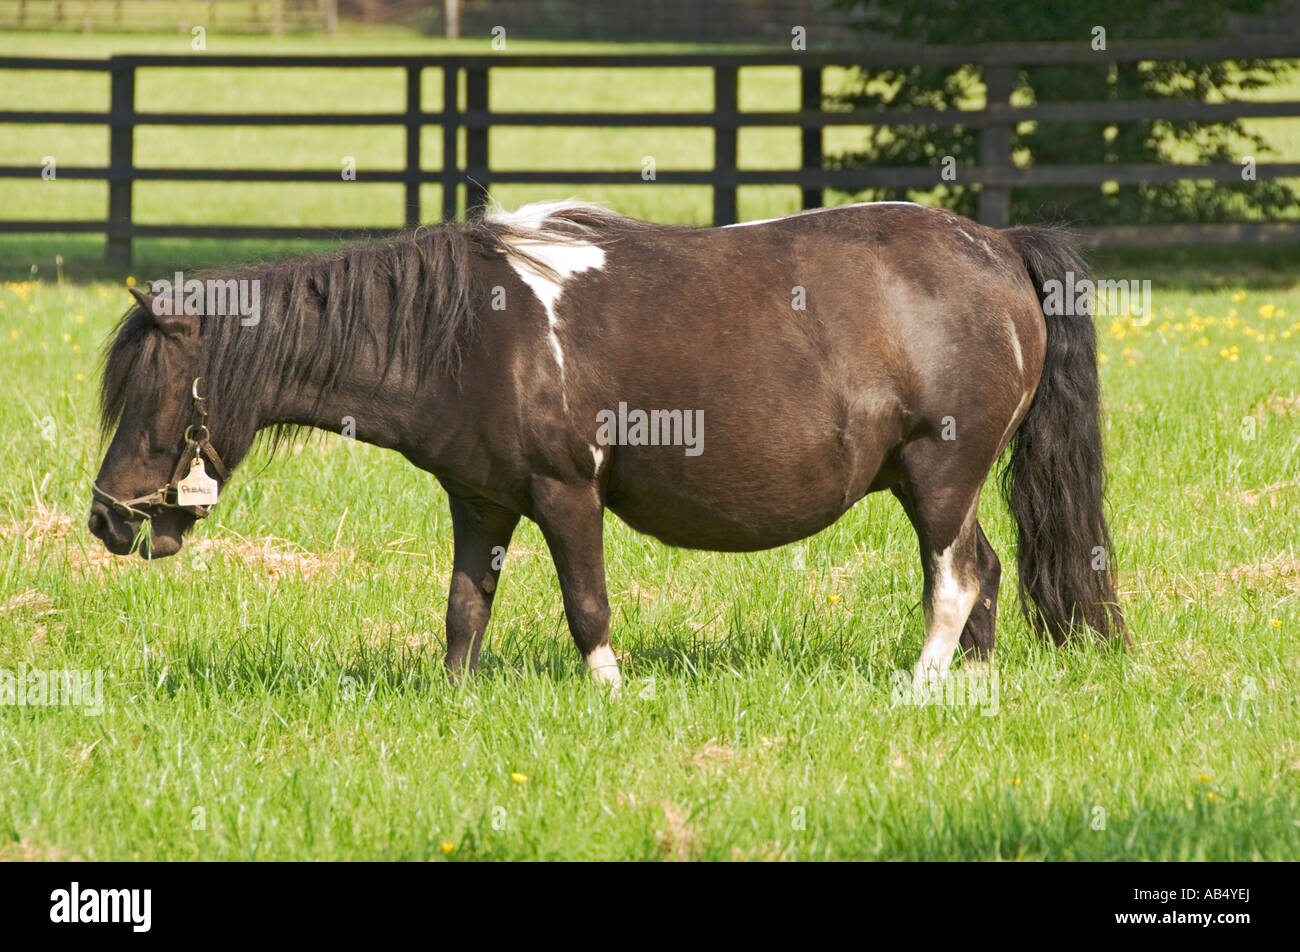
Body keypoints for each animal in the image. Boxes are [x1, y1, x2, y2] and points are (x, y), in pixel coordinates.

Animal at [89, 200, 1125, 690]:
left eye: (148, 397)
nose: (105, 519)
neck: (473, 331)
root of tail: (998, 246)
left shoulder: (565, 494)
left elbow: (586, 605)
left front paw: (612, 692)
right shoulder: (482, 502)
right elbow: (464, 611)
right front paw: (456, 700)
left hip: (939, 476)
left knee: (958, 578)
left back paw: (920, 683)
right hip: (939, 485)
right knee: (985, 576)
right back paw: (966, 686)